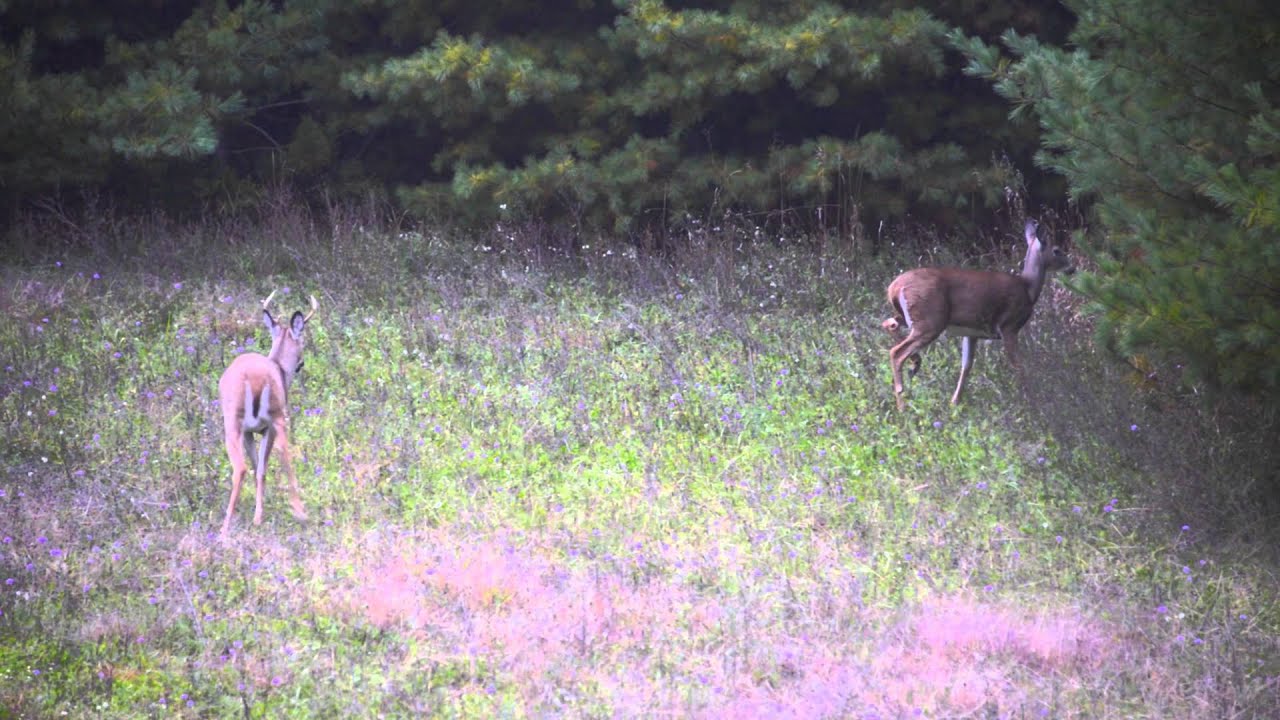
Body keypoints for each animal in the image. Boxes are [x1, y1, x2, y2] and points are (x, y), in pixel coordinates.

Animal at [218, 290, 318, 537]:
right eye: (302, 339)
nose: (301, 363)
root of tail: (254, 379)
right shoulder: (264, 428)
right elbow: (261, 468)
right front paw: (258, 517)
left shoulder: (250, 431)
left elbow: (257, 468)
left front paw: (258, 515)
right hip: (276, 416)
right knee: (282, 456)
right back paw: (300, 513)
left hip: (236, 422)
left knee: (242, 467)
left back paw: (225, 528)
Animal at [882, 219, 1074, 410]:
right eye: (1057, 250)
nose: (1072, 268)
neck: (1028, 288)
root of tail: (893, 288)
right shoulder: (1009, 326)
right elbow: (1018, 366)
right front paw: (1034, 402)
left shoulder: (971, 333)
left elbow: (966, 366)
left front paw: (954, 404)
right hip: (930, 320)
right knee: (896, 352)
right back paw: (902, 404)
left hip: (915, 317)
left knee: (889, 324)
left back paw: (914, 364)